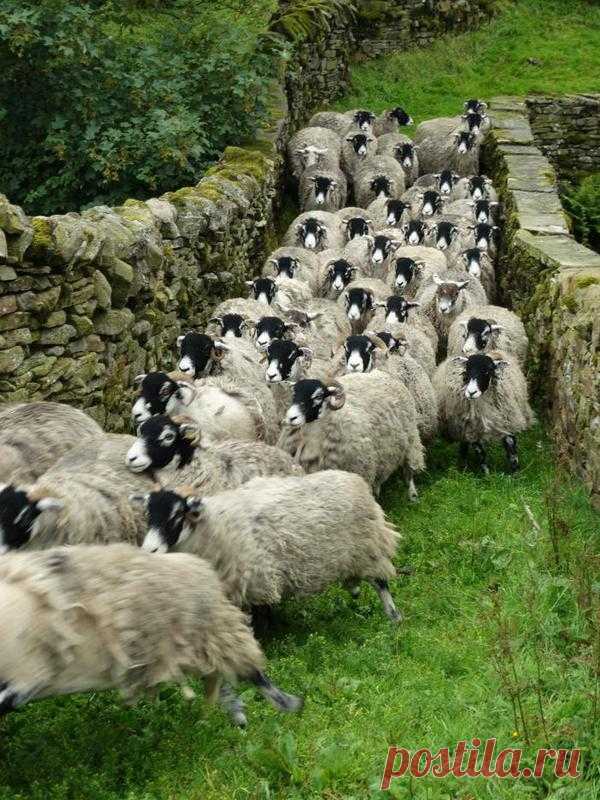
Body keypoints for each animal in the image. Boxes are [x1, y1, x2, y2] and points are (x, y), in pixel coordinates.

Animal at [0, 544, 302, 725]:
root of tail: (200, 566)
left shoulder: (24, 678)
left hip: (218, 632)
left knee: (248, 670)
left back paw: (280, 706)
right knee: (219, 676)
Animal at [136, 471, 402, 622]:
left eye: (177, 515)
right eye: (148, 514)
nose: (150, 550)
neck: (212, 527)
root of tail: (356, 480)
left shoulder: (253, 580)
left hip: (369, 546)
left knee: (381, 582)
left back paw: (393, 616)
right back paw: (355, 590)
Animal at [278, 374, 425, 499]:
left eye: (318, 396)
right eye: (294, 395)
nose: (291, 418)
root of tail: (385, 374)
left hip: (411, 437)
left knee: (410, 466)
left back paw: (412, 494)